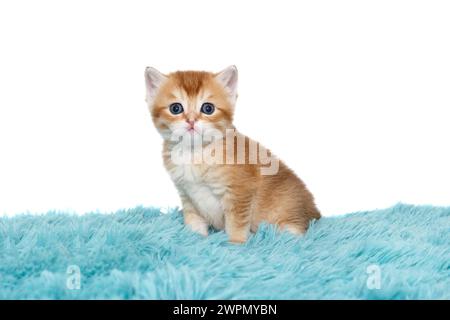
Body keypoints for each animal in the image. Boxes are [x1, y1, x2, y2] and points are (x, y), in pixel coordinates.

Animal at [144, 66, 320, 244]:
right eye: (176, 108)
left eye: (208, 108)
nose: (191, 121)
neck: (195, 153)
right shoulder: (187, 195)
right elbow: (194, 221)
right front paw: (195, 240)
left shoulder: (240, 193)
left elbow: (236, 224)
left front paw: (235, 244)